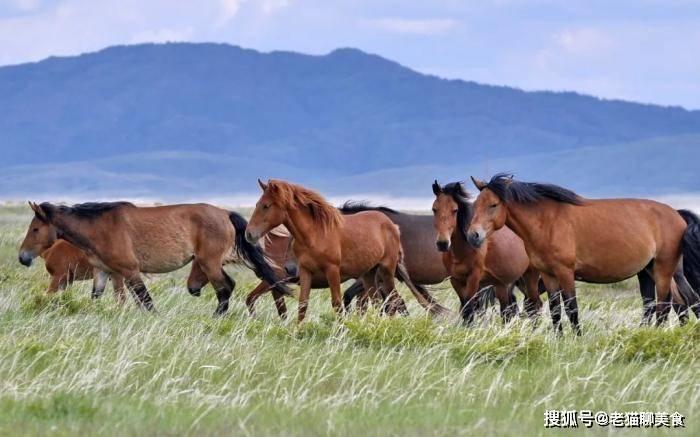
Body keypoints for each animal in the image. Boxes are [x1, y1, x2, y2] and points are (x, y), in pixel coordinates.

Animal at [246, 178, 452, 320]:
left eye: (266, 206)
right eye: (256, 204)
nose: (249, 234)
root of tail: (392, 226)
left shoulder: (335, 272)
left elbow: (341, 302)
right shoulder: (297, 275)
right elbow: (299, 304)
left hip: (384, 272)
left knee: (391, 301)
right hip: (373, 274)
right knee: (383, 301)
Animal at [432, 181, 540, 324]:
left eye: (455, 210)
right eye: (434, 209)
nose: (442, 243)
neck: (463, 252)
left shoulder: (473, 279)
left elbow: (469, 309)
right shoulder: (455, 280)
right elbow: (464, 308)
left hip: (529, 276)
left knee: (533, 306)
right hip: (504, 284)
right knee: (509, 309)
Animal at [464, 172, 700, 332]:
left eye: (493, 204)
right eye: (476, 204)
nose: (473, 235)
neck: (547, 222)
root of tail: (677, 215)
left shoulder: (566, 273)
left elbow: (571, 308)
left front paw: (576, 339)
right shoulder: (549, 275)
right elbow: (555, 310)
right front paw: (558, 340)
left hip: (663, 269)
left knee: (666, 304)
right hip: (652, 270)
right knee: (678, 301)